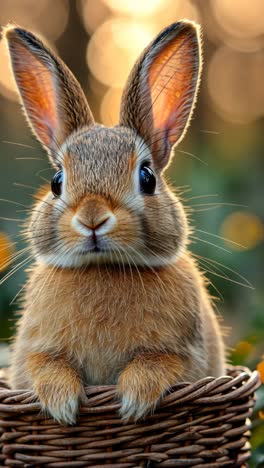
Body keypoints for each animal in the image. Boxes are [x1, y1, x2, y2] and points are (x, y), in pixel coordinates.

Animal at [3, 21, 225, 424]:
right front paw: (62, 404)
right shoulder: (32, 355)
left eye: (147, 178)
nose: (92, 218)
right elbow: (45, 367)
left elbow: (160, 363)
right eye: (57, 181)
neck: (103, 267)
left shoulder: (188, 357)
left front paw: (133, 400)